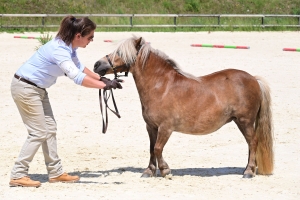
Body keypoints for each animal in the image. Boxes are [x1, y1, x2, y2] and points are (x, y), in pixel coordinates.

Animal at [94, 35, 274, 177]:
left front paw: (165, 170)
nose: (97, 65)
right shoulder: (151, 127)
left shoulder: (165, 128)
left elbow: (158, 148)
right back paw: (248, 169)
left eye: (120, 53)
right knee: (250, 144)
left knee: (253, 142)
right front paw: (149, 171)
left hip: (245, 121)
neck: (161, 86)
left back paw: (249, 172)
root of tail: (253, 78)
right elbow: (152, 149)